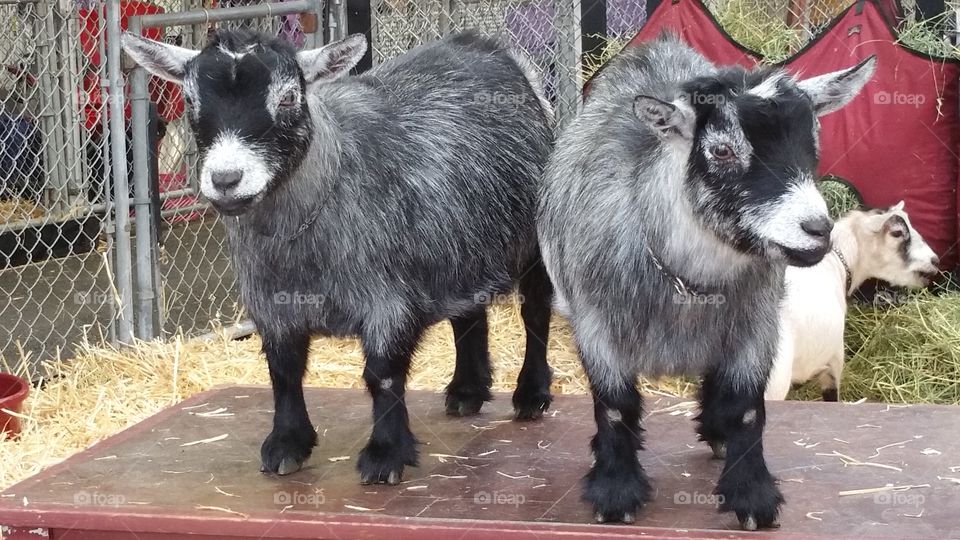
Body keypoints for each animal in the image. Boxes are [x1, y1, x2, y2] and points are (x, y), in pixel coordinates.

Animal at [121, 30, 554, 484]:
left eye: (289, 97)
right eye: (190, 100)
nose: (226, 179)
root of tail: (485, 45)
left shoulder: (388, 300)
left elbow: (382, 374)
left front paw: (385, 455)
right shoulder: (271, 304)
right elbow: (284, 371)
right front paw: (287, 444)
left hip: (533, 238)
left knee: (535, 311)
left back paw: (531, 394)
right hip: (460, 240)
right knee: (468, 310)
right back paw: (467, 390)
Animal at [537, 33, 874, 528]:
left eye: (812, 141)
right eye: (721, 151)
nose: (817, 229)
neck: (688, 279)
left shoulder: (757, 326)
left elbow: (747, 408)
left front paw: (751, 495)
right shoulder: (597, 325)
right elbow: (615, 407)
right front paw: (616, 492)